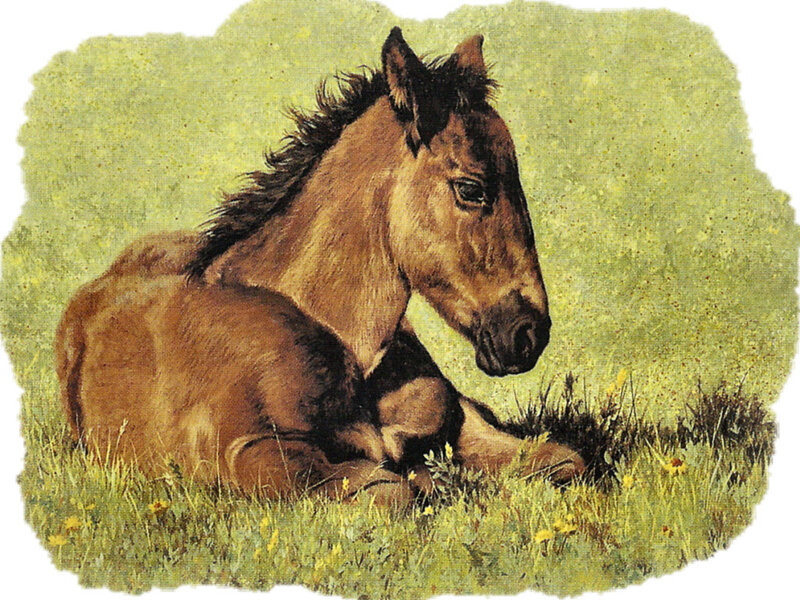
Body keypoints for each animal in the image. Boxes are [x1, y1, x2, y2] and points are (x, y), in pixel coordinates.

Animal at [55, 28, 584, 505]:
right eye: (471, 188)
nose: (528, 334)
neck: (347, 345)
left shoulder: (464, 420)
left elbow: (564, 461)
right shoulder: (253, 453)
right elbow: (389, 491)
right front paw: (423, 483)